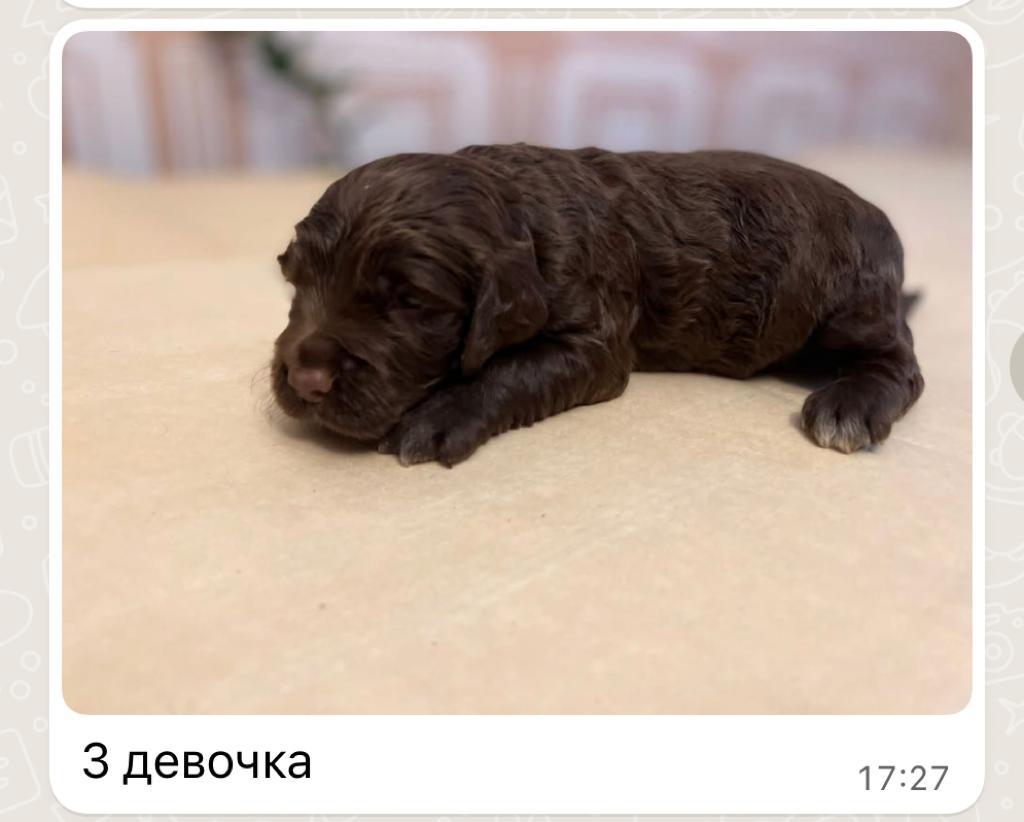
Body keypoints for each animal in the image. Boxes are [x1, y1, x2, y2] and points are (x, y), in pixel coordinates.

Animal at [271, 143, 924, 467]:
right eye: (295, 278)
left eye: (409, 300)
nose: (304, 380)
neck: (524, 212)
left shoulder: (595, 340)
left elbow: (506, 370)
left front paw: (437, 417)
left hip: (847, 302)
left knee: (902, 362)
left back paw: (849, 404)